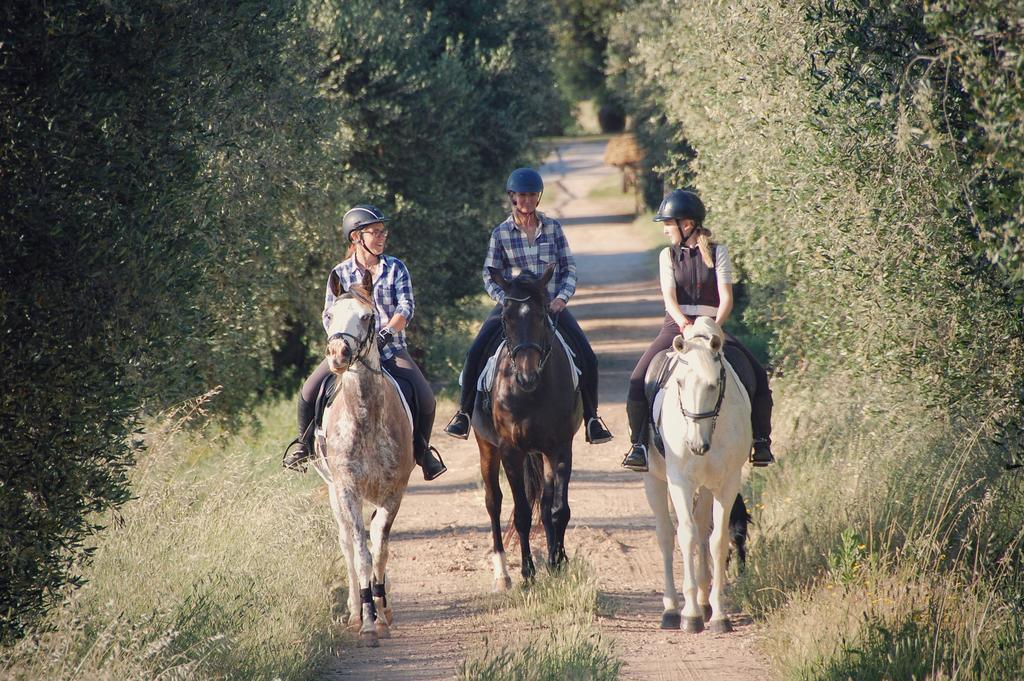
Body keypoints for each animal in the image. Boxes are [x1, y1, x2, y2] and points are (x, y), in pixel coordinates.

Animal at [319, 268, 415, 647]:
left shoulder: (393, 492)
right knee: (346, 543)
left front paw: (383, 611)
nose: (338, 353)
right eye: (330, 315)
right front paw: (369, 622)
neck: (365, 414)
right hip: (334, 493)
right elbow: (361, 552)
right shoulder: (347, 490)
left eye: (367, 317)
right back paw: (355, 610)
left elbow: (381, 547)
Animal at [468, 264, 581, 589]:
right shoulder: (510, 452)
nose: (526, 376)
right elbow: (520, 514)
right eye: (506, 318)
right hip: (487, 448)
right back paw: (503, 573)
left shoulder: (559, 448)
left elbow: (557, 509)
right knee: (493, 502)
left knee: (544, 504)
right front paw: (528, 573)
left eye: (543, 315)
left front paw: (558, 563)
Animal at [643, 317, 749, 630]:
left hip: (706, 487)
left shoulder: (727, 483)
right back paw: (671, 610)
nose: (695, 445)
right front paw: (689, 616)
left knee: (703, 530)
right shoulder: (680, 482)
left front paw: (719, 615)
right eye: (679, 382)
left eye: (714, 386)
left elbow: (718, 540)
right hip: (654, 480)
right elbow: (686, 535)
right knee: (666, 536)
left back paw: (704, 602)